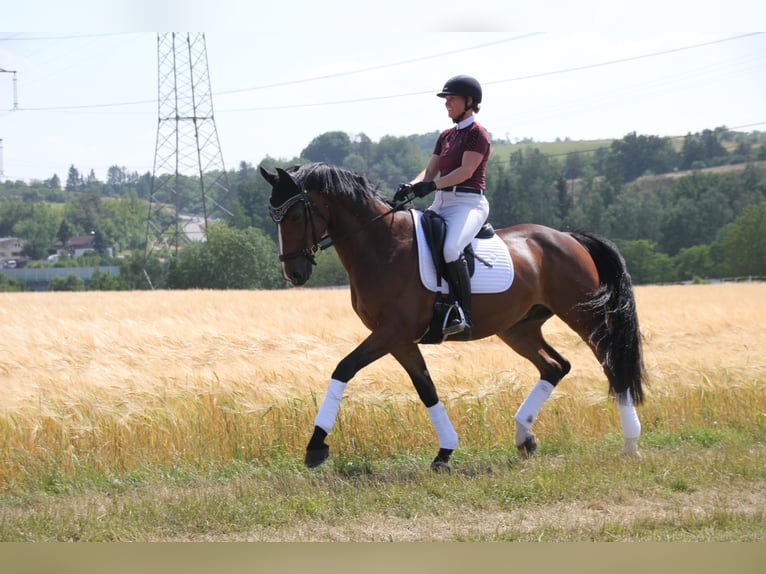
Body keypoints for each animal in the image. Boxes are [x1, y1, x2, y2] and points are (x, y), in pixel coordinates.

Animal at [260, 162, 648, 472]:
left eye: (295, 216)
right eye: (273, 217)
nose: (293, 274)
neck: (380, 245)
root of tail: (568, 237)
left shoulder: (391, 332)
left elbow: (344, 368)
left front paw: (316, 446)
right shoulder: (399, 339)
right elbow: (426, 389)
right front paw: (445, 452)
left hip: (582, 316)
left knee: (611, 363)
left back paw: (630, 443)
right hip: (518, 328)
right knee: (555, 365)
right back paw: (524, 436)